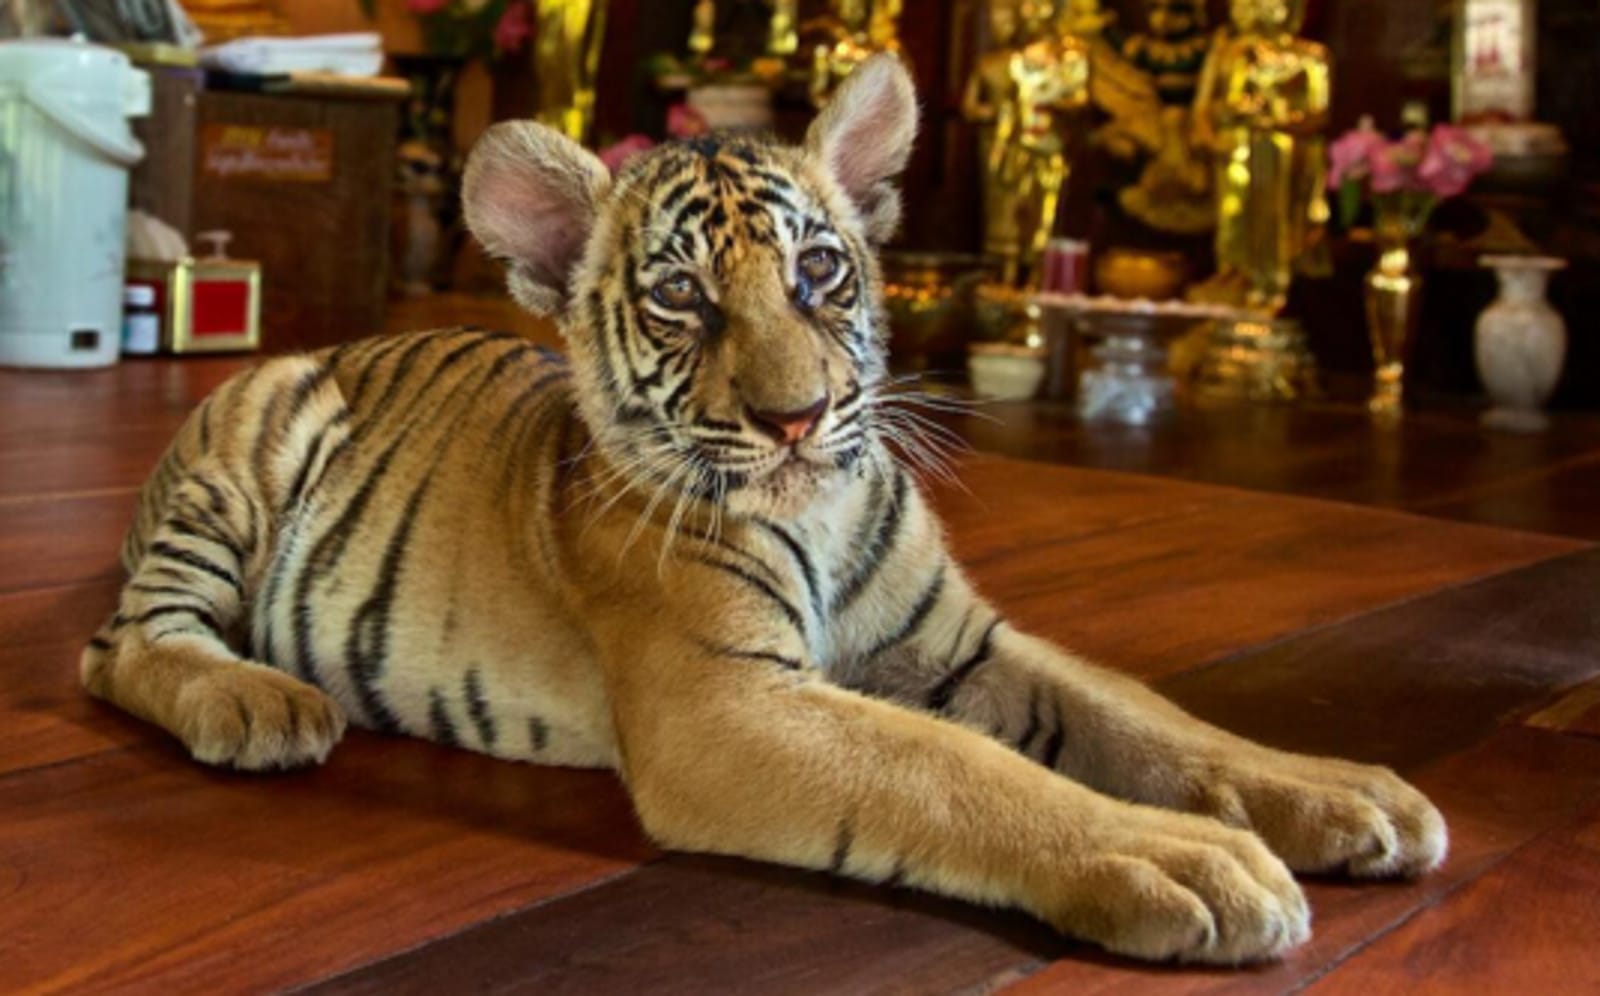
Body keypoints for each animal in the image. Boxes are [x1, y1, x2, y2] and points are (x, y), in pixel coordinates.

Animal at [80, 55, 1445, 965]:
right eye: (681, 297)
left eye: (820, 270)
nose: (796, 419)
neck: (825, 515)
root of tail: (331, 344)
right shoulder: (724, 702)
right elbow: (958, 772)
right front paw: (1185, 860)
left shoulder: (966, 643)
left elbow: (1150, 719)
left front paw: (1345, 795)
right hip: (250, 451)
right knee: (125, 643)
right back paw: (259, 703)